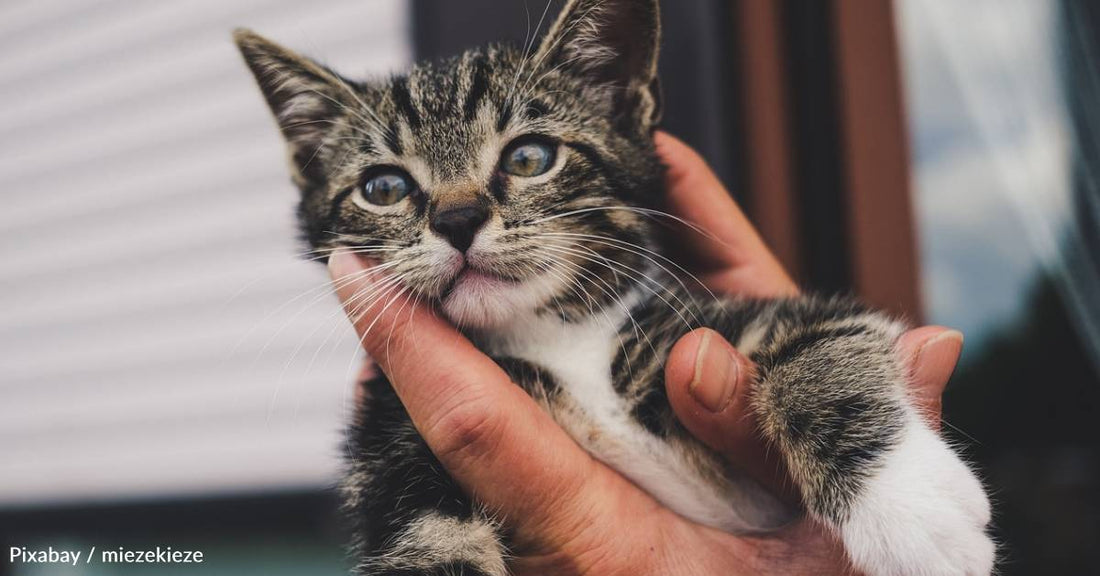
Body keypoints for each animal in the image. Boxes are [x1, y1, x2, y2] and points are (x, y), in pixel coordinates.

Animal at [236, 2, 994, 571]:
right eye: (385, 188)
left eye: (530, 157)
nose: (456, 219)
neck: (557, 337)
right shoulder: (392, 439)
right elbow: (427, 538)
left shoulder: (724, 329)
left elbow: (822, 345)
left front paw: (913, 507)